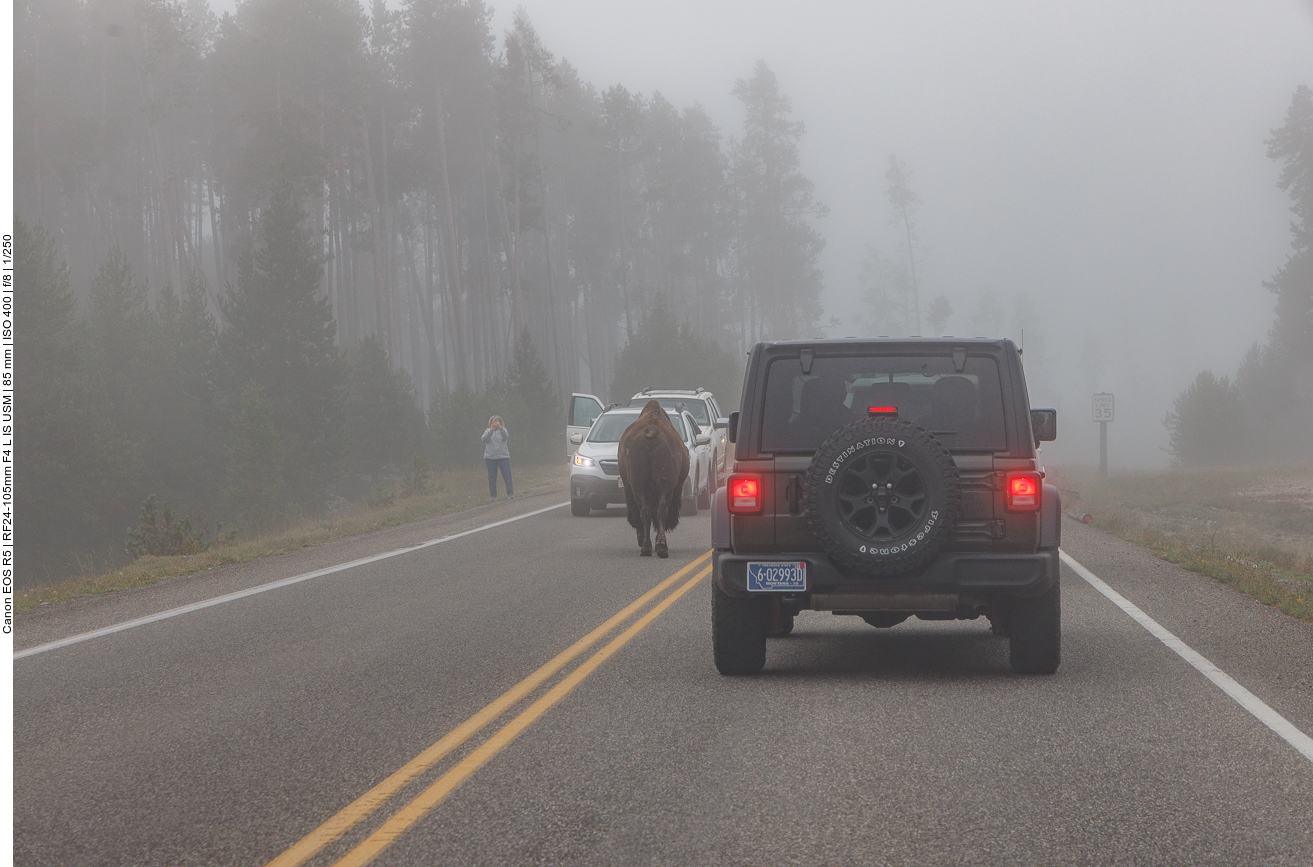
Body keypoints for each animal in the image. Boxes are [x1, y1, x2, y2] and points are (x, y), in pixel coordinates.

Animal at [619, 396, 693, 554]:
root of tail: (652, 431)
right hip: (661, 485)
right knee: (656, 511)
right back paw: (657, 546)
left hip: (643, 486)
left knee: (648, 512)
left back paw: (650, 546)